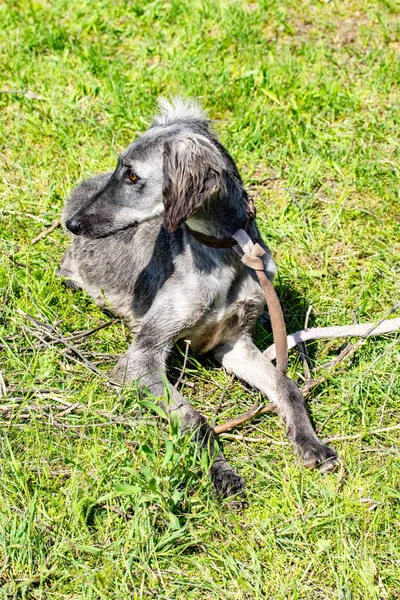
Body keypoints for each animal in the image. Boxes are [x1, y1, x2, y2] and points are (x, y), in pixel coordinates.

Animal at [59, 98, 338, 496]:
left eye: (132, 176)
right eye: (122, 169)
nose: (72, 223)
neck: (226, 256)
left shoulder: (233, 345)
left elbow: (287, 387)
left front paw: (310, 443)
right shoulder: (139, 360)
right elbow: (196, 419)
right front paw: (222, 472)